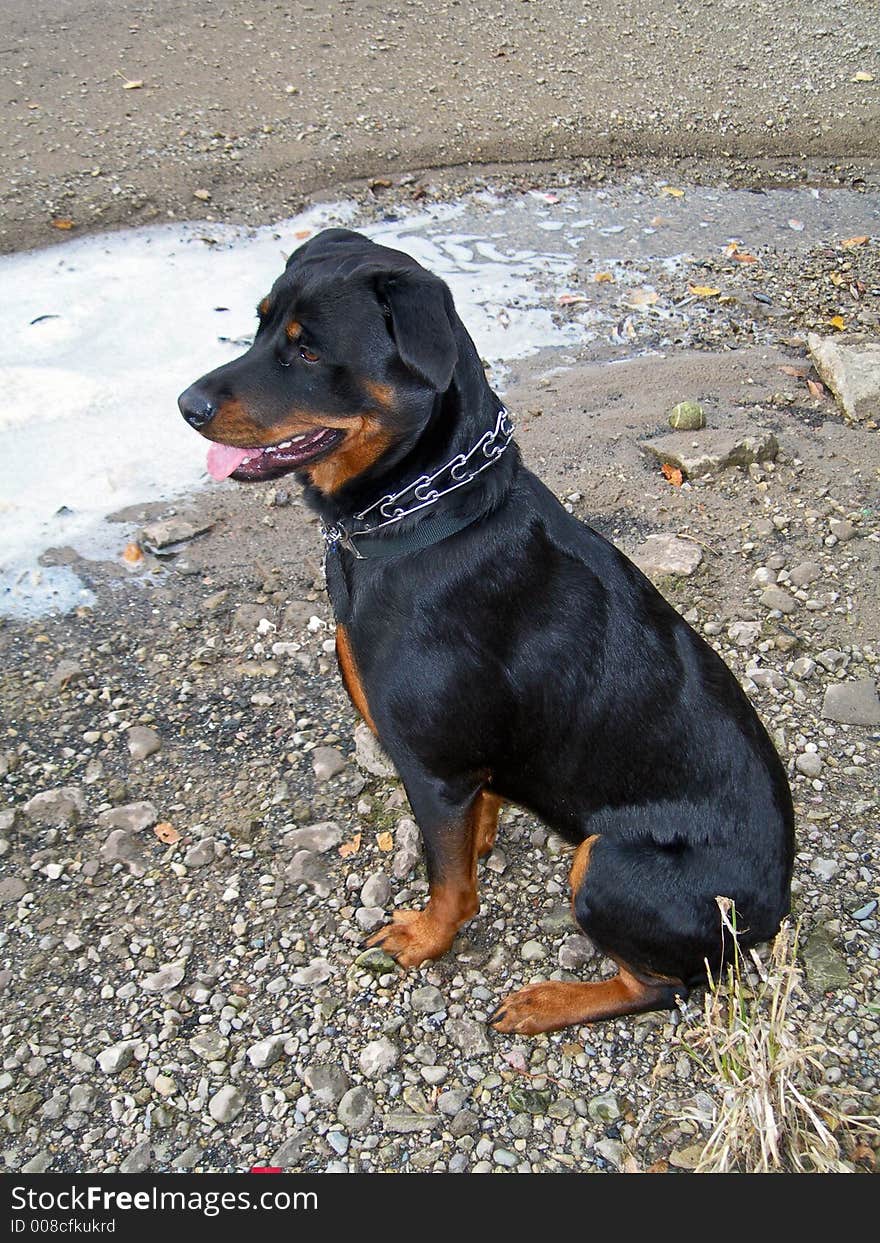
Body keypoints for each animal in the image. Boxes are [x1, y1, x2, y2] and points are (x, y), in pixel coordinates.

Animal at [180, 228, 795, 1034]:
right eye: (258, 325)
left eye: (308, 350)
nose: (185, 404)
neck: (420, 515)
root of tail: (776, 911)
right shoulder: (463, 770)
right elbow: (472, 826)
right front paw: (485, 832)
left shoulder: (430, 767)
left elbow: (451, 884)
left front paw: (424, 937)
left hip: (607, 862)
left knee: (665, 984)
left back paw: (548, 1000)